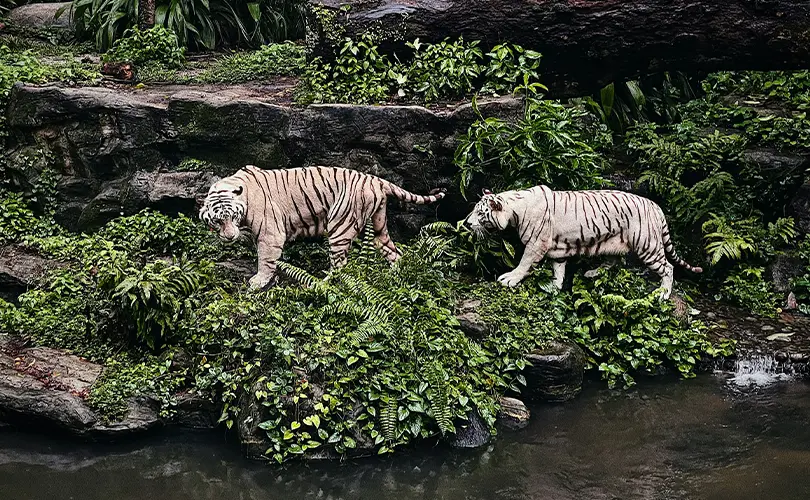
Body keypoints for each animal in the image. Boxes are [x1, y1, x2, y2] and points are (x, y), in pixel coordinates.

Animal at [199, 165, 446, 289]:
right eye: (218, 220)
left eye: (232, 216)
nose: (229, 237)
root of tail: (376, 179)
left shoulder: (271, 234)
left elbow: (266, 259)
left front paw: (258, 281)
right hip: (378, 226)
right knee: (393, 252)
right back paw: (395, 275)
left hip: (340, 226)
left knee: (340, 265)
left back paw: (320, 283)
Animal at [462, 186, 702, 299]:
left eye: (480, 213)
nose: (466, 223)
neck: (515, 210)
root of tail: (656, 206)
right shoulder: (557, 250)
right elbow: (558, 269)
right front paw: (554, 287)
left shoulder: (536, 244)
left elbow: (524, 263)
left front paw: (510, 279)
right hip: (613, 242)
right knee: (614, 262)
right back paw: (592, 273)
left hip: (647, 245)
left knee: (668, 267)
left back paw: (663, 293)